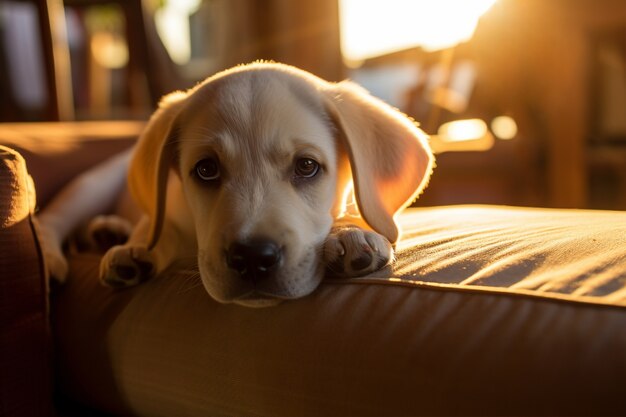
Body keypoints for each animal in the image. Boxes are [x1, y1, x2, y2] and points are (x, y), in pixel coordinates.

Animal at [39, 63, 432, 308]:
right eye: (206, 170)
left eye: (307, 166)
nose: (253, 258)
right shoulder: (167, 208)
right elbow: (155, 225)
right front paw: (136, 249)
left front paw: (352, 232)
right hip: (92, 183)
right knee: (52, 219)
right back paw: (59, 255)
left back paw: (106, 231)